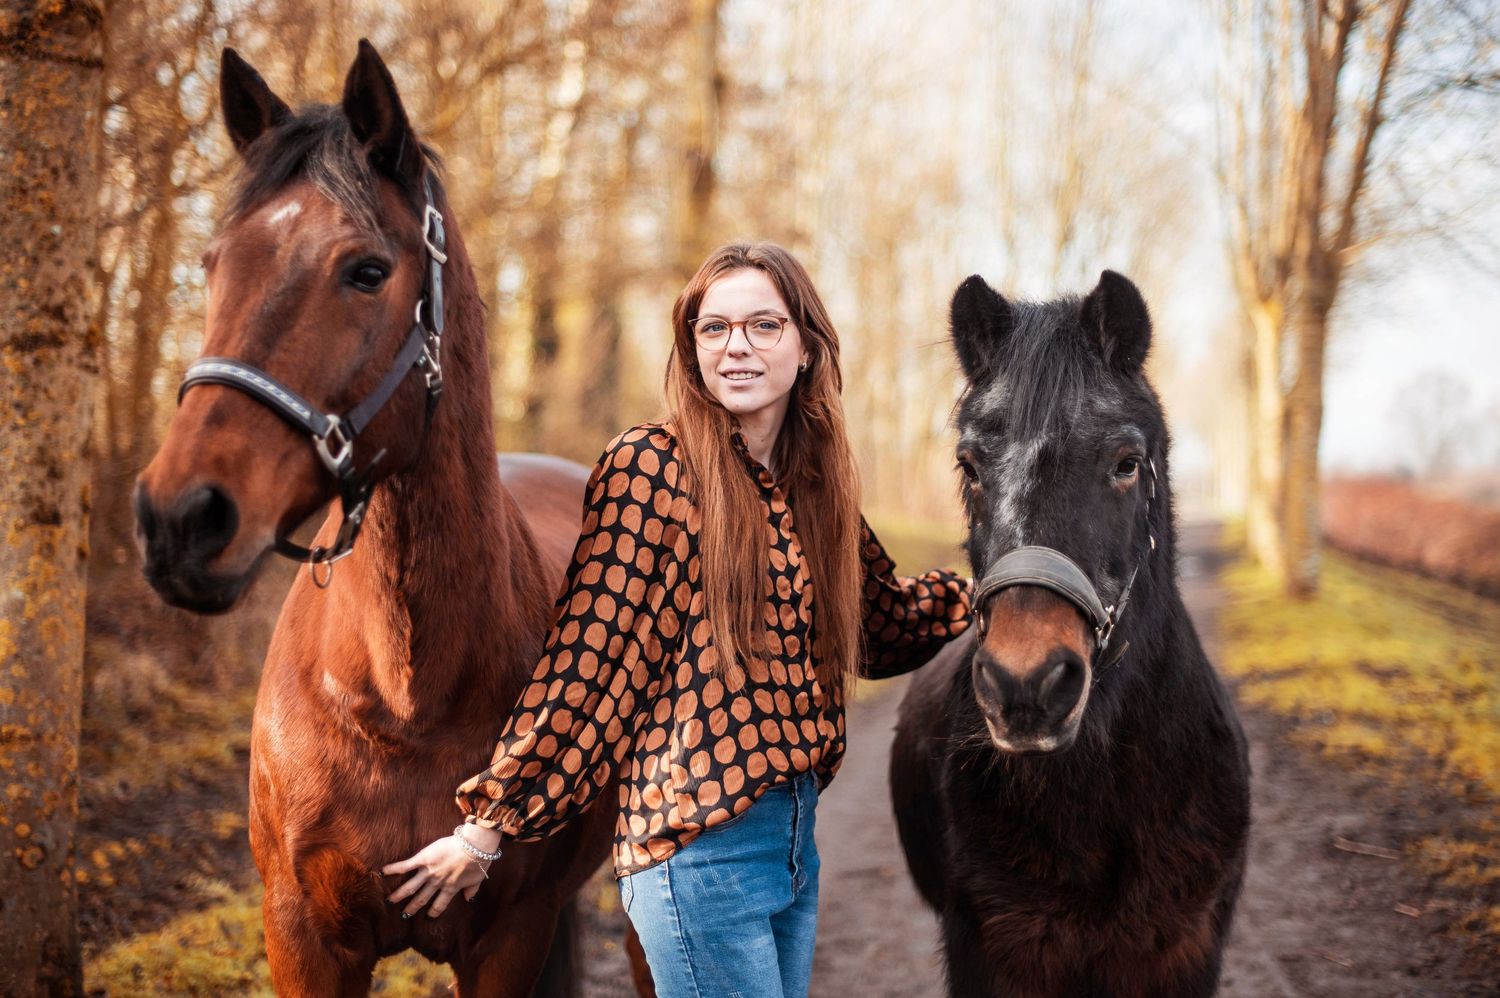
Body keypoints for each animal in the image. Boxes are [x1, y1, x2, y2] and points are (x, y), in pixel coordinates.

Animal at [134, 42, 617, 995]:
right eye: (212, 264)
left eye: (365, 270)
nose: (180, 519)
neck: (403, 698)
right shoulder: (304, 936)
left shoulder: (509, 938)